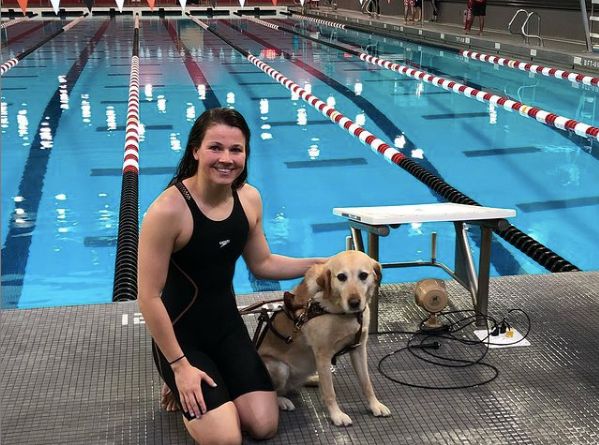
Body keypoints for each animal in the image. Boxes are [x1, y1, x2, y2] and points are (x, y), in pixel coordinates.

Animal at [258, 248, 392, 424]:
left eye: (363, 275)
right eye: (341, 277)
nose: (354, 302)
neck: (341, 312)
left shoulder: (359, 349)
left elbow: (366, 383)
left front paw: (375, 405)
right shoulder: (323, 355)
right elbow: (329, 393)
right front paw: (336, 415)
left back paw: (313, 379)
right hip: (280, 368)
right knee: (277, 392)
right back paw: (283, 401)